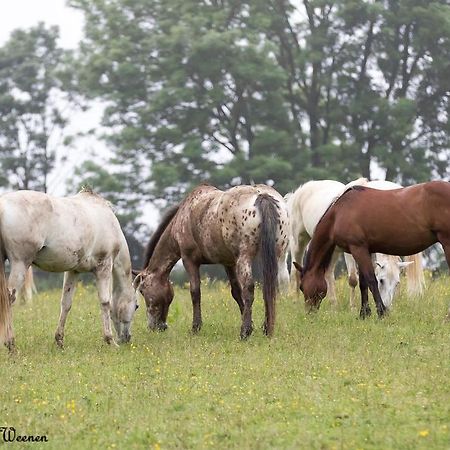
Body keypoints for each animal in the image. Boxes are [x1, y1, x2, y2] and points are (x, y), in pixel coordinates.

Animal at [0, 187, 138, 352]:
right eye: (136, 306)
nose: (127, 338)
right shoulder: (104, 266)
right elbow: (106, 302)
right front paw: (110, 340)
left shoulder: (73, 271)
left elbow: (66, 303)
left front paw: (59, 341)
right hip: (20, 263)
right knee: (9, 299)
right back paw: (11, 345)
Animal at [134, 183, 288, 338]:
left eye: (142, 290)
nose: (155, 327)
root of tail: (262, 195)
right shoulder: (229, 263)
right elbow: (236, 292)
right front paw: (251, 323)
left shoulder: (189, 261)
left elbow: (195, 292)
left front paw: (195, 327)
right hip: (275, 256)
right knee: (270, 288)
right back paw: (267, 329)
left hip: (245, 257)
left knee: (249, 288)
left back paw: (245, 332)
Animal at [294, 181, 450, 322]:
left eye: (301, 287)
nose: (309, 313)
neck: (339, 212)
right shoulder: (366, 250)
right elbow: (363, 282)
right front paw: (364, 314)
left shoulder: (357, 248)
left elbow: (371, 280)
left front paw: (381, 313)